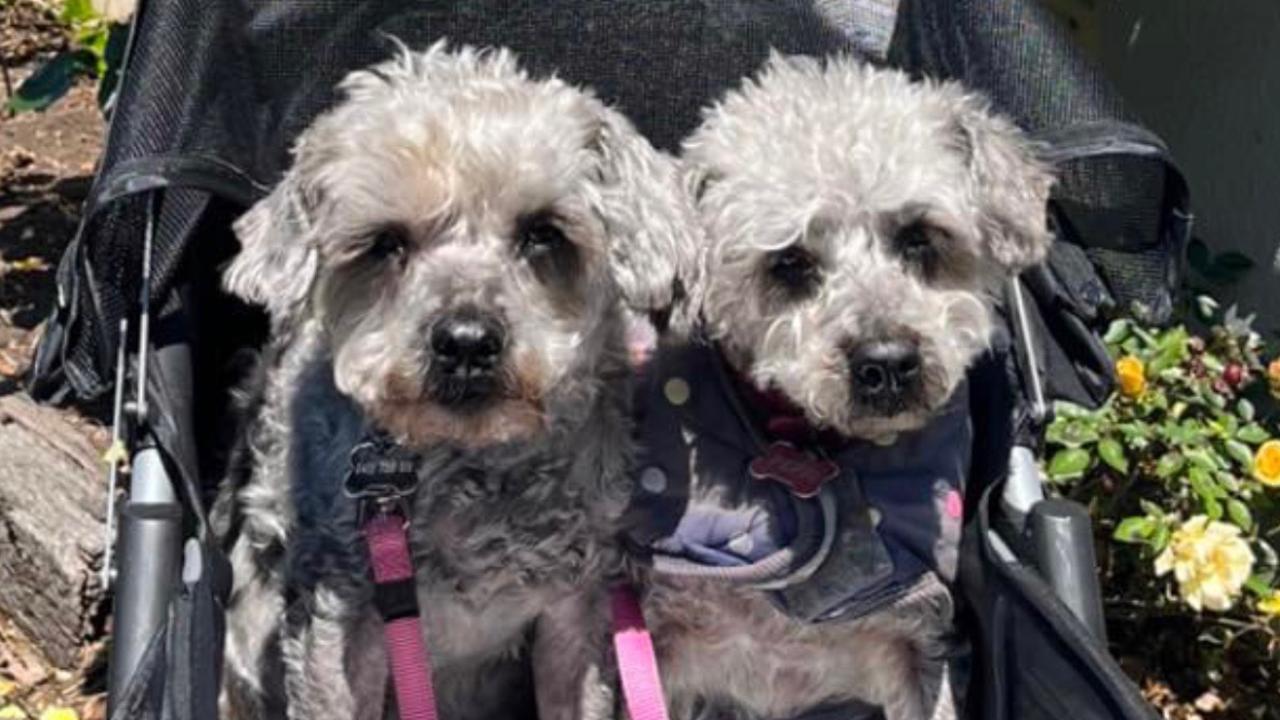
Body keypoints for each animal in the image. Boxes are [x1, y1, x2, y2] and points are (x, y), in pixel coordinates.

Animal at [217, 41, 701, 717]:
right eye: (385, 243)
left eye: (543, 232)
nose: (466, 342)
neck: (475, 466)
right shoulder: (340, 612)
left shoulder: (574, 609)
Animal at [634, 56, 1054, 717]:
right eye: (789, 263)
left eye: (919, 237)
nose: (888, 364)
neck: (811, 446)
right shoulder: (665, 643)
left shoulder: (915, 637)